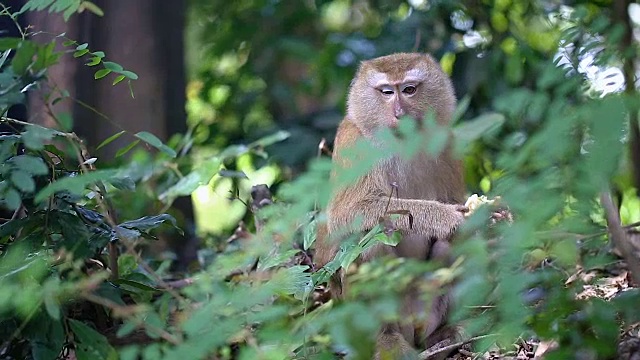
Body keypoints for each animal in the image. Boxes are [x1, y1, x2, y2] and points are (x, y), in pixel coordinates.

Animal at [316, 52, 470, 358]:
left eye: (409, 89)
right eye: (387, 92)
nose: (399, 114)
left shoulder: (447, 140)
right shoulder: (353, 141)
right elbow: (346, 215)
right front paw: (445, 217)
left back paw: (441, 338)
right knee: (369, 241)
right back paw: (387, 342)